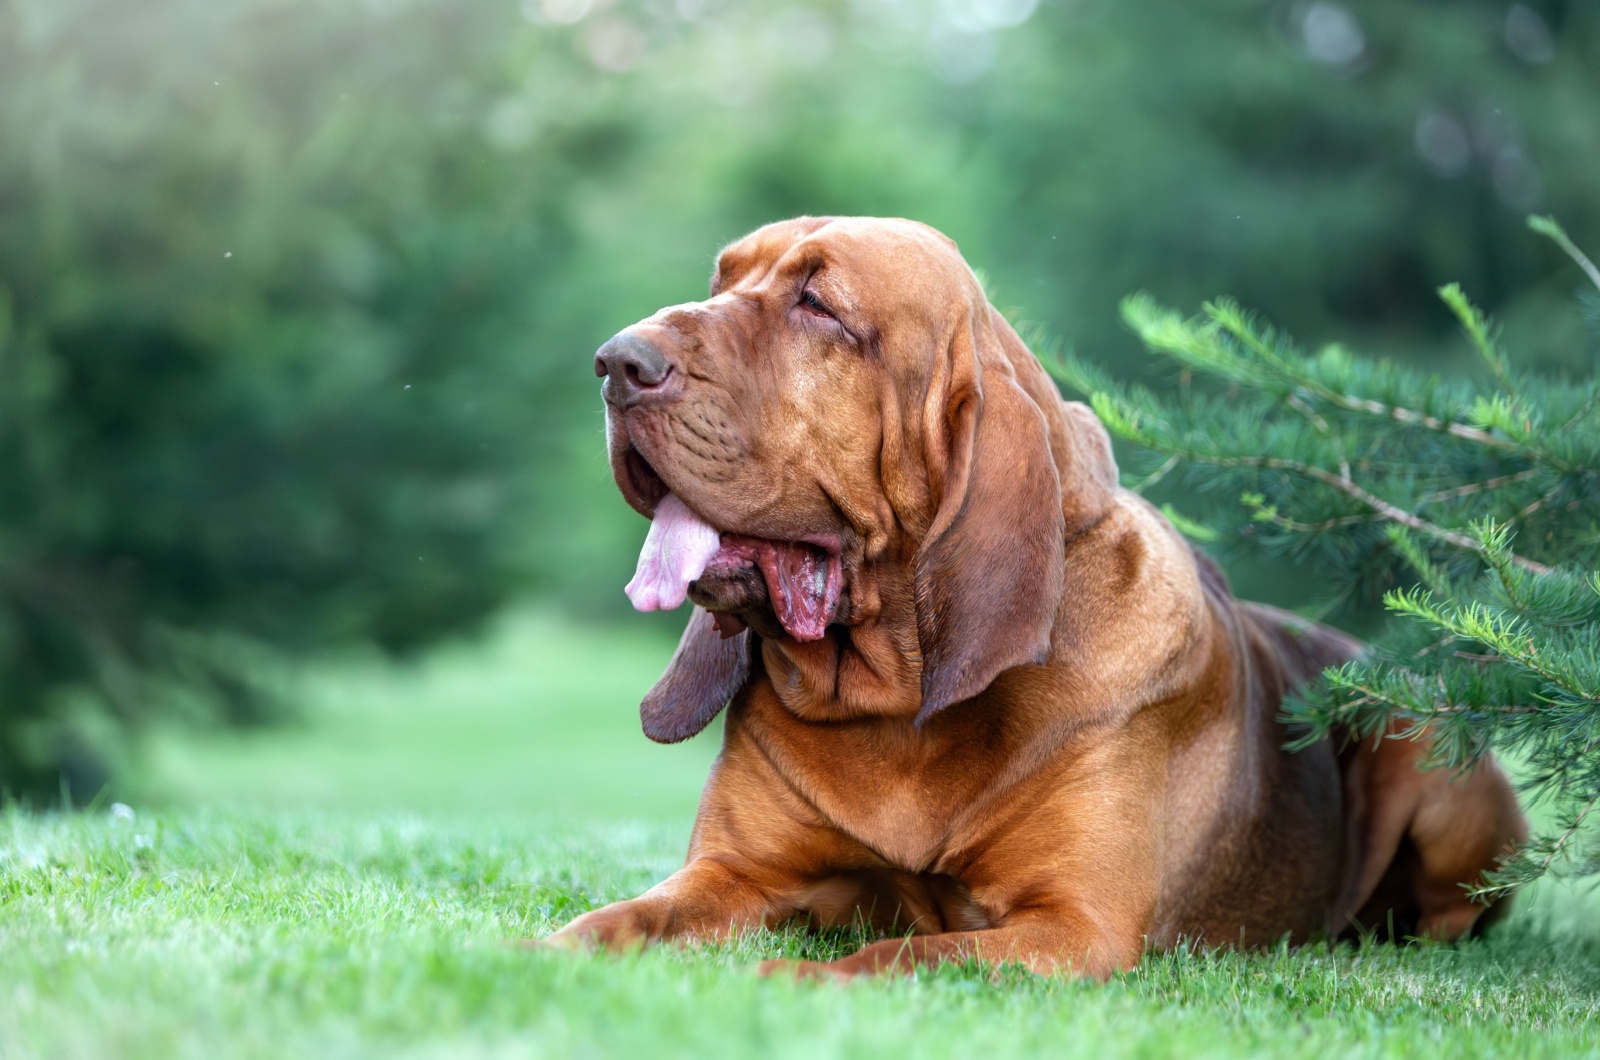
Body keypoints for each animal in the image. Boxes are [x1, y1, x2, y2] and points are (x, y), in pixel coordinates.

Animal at [550, 216, 1523, 979]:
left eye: (818, 305)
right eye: (720, 281)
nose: (614, 362)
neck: (893, 707)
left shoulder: (1070, 927)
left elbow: (893, 954)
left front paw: (784, 978)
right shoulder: (732, 876)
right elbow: (621, 918)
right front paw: (534, 957)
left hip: (1428, 752)